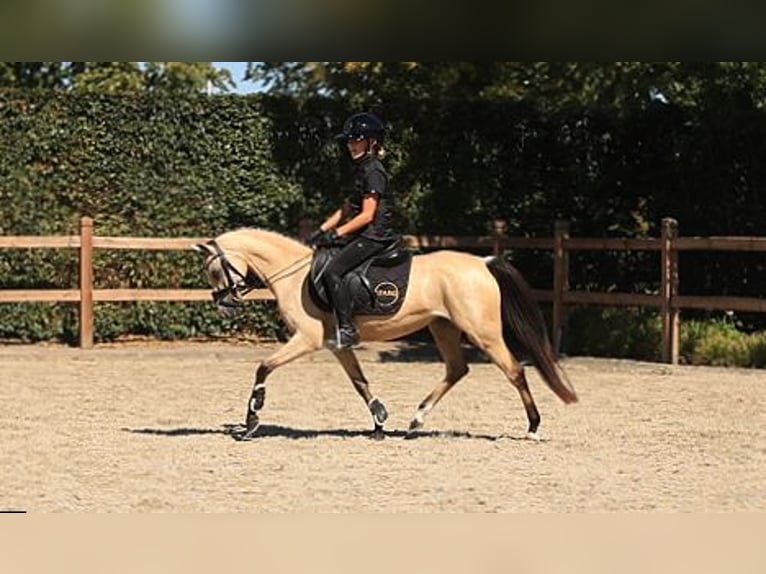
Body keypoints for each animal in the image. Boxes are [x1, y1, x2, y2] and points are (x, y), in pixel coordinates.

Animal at [194, 228, 577, 441]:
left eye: (214, 271)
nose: (223, 305)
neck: (294, 275)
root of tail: (483, 262)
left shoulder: (307, 340)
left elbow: (264, 366)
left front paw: (251, 420)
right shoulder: (337, 345)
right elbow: (359, 382)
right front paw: (379, 420)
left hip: (483, 333)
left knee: (514, 370)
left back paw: (533, 427)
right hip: (444, 328)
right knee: (457, 369)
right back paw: (416, 421)